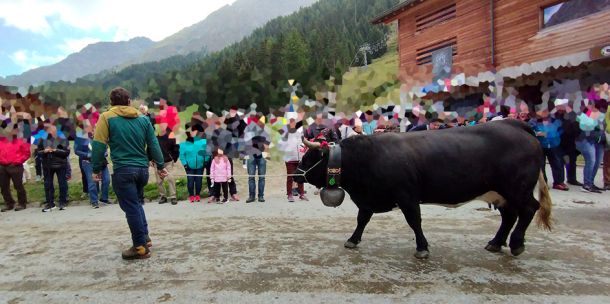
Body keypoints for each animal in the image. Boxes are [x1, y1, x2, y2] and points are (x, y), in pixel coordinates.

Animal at [294, 119, 552, 258]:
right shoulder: (368, 199)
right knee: (509, 216)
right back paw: (496, 243)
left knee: (529, 209)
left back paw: (516, 243)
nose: (296, 174)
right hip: (500, 193)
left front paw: (422, 247)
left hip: (517, 188)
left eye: (308, 157)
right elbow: (362, 219)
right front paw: (353, 239)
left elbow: (414, 221)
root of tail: (515, 125)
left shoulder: (407, 196)